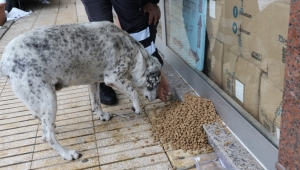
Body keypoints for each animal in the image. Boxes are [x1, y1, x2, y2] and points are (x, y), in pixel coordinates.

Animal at [0, 20, 162, 159]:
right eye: (156, 84)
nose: (156, 98)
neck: (134, 52)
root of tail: (5, 61)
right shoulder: (112, 78)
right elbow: (132, 90)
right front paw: (137, 107)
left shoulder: (94, 82)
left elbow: (96, 102)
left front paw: (102, 116)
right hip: (49, 99)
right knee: (47, 136)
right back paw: (67, 154)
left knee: (44, 123)